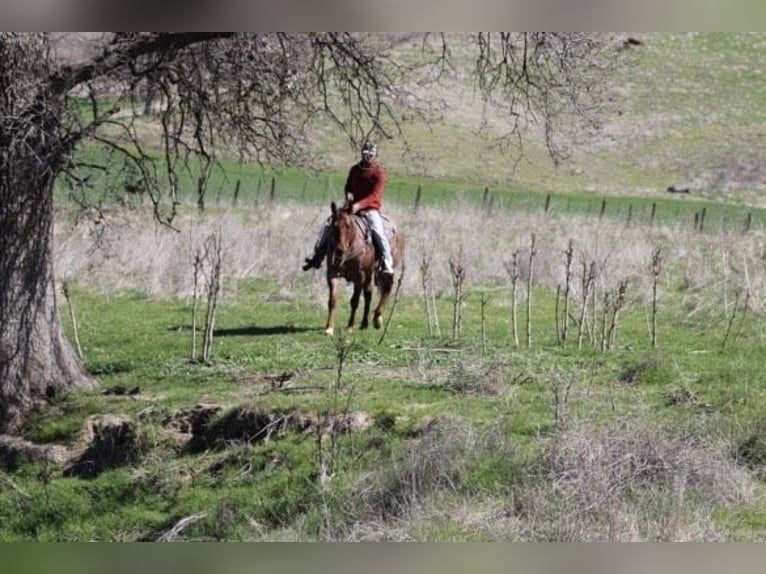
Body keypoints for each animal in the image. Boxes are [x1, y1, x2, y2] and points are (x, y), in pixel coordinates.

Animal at [322, 201, 404, 336]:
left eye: (348, 225)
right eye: (334, 226)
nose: (340, 250)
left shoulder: (360, 276)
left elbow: (355, 301)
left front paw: (350, 326)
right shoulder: (332, 274)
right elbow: (332, 300)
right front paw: (329, 328)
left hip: (384, 269)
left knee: (387, 287)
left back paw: (377, 318)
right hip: (369, 274)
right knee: (368, 293)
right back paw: (364, 323)